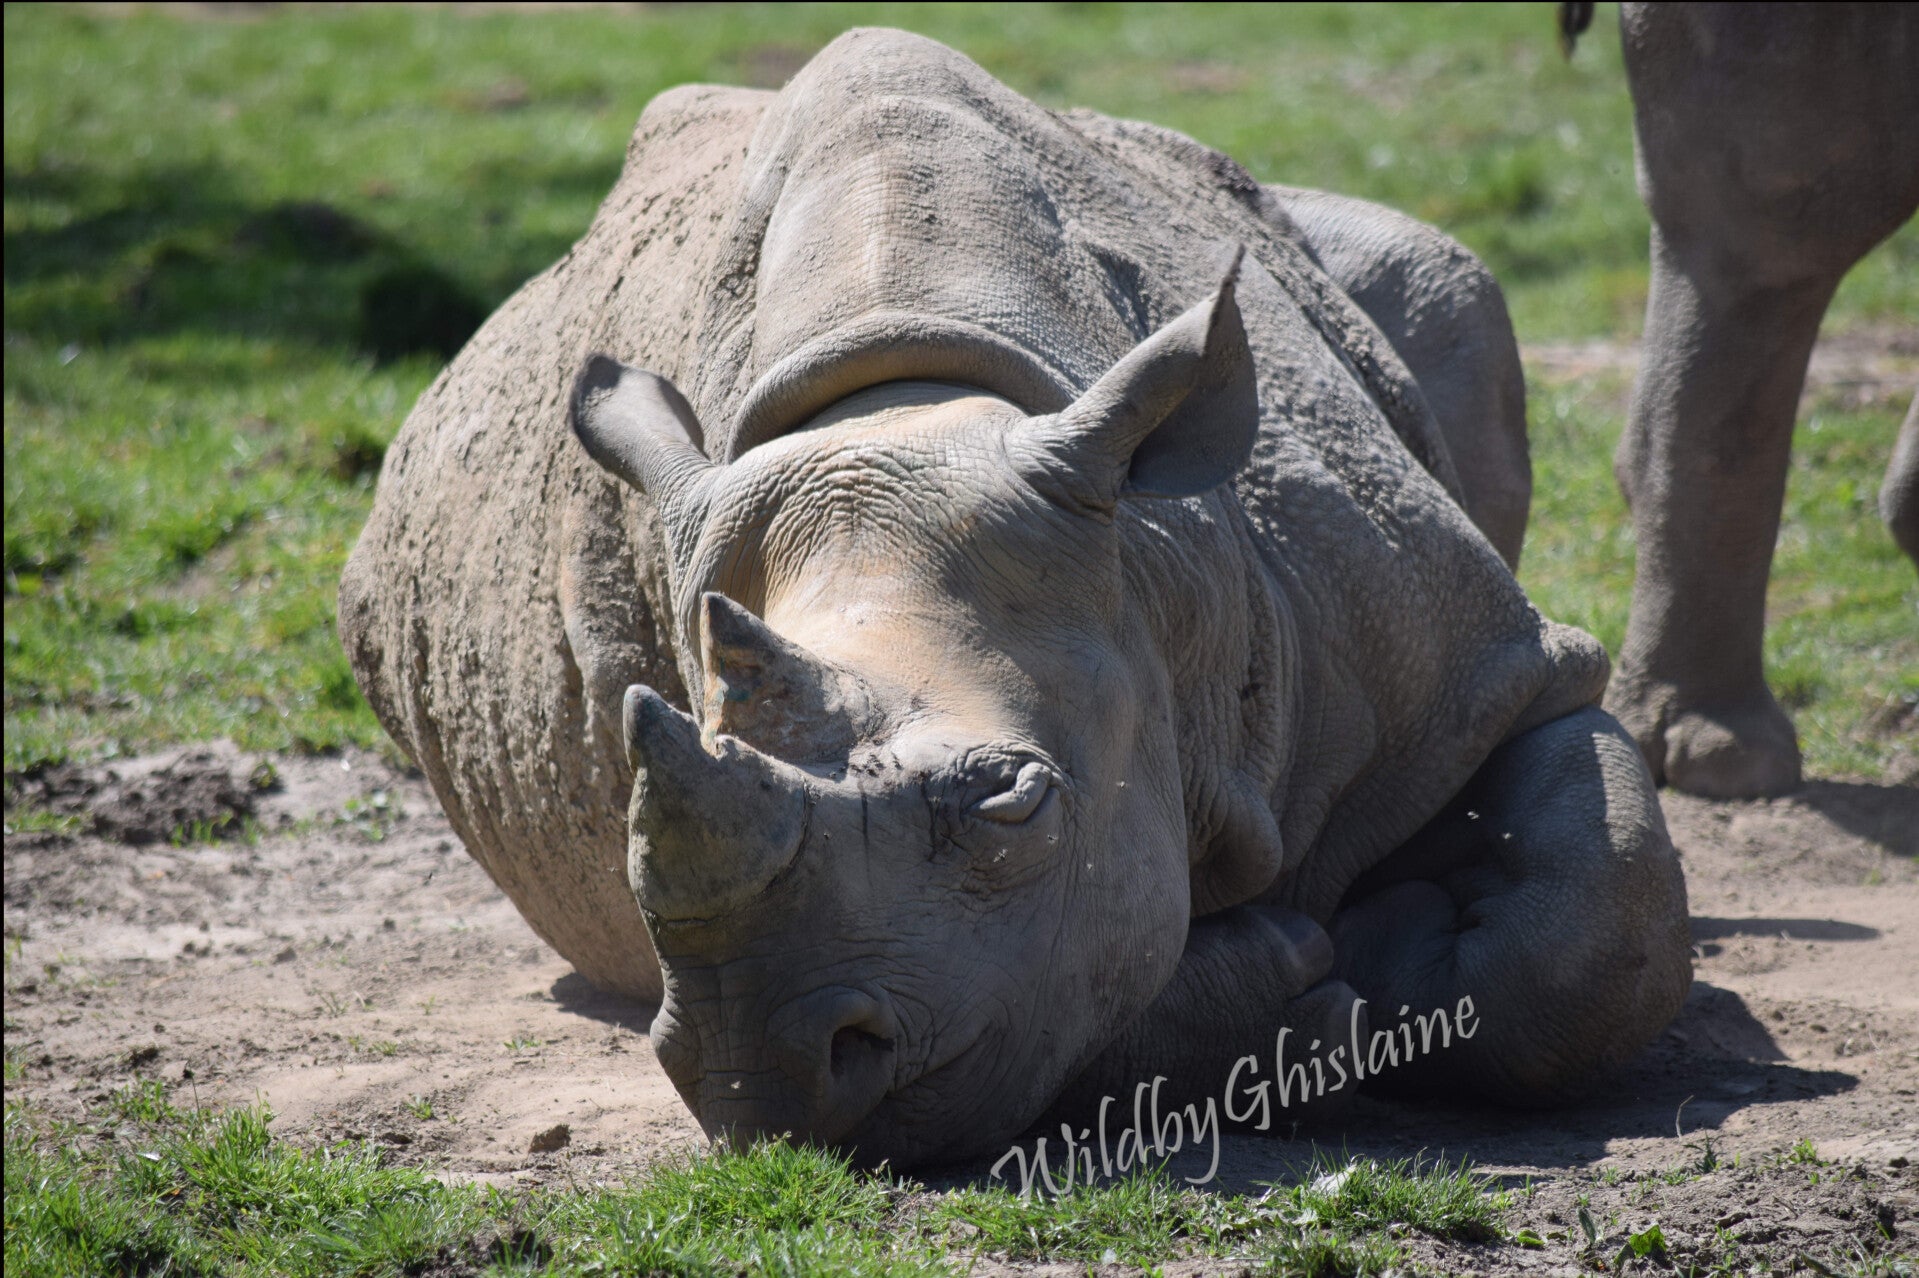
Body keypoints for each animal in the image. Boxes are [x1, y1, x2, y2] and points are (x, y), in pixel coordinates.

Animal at [339, 29, 1691, 1168]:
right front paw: (1319, 980)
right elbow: (1079, 994)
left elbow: (1590, 933)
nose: (760, 1077)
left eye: (1013, 800)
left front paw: (1406, 945)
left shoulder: (1480, 674)